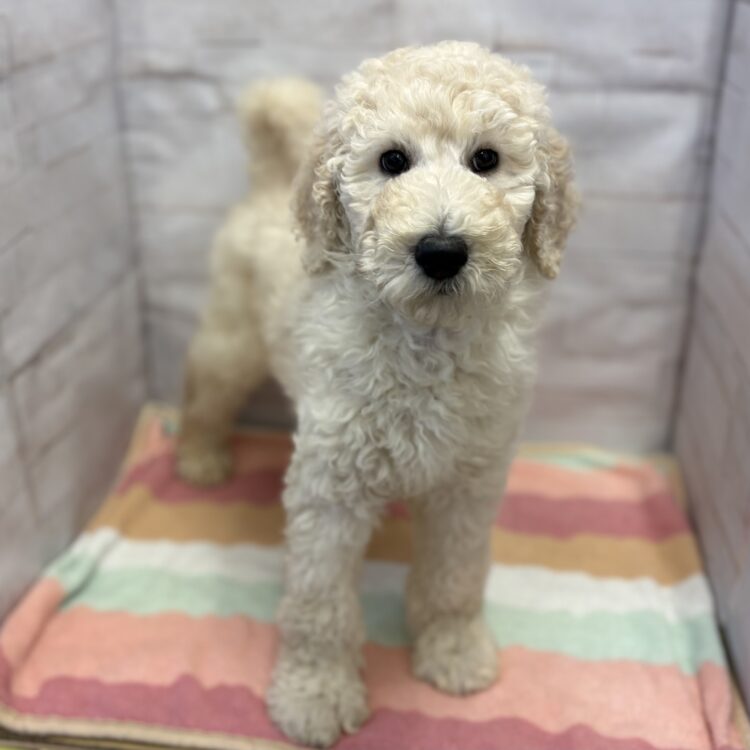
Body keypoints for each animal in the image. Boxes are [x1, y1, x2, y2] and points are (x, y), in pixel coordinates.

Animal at [176, 41, 576, 748]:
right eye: (392, 160)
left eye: (486, 160)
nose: (441, 250)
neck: (425, 339)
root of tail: (269, 181)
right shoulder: (329, 490)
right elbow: (319, 604)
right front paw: (315, 695)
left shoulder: (469, 483)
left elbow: (455, 576)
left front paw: (454, 651)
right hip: (234, 335)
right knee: (207, 385)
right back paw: (200, 455)